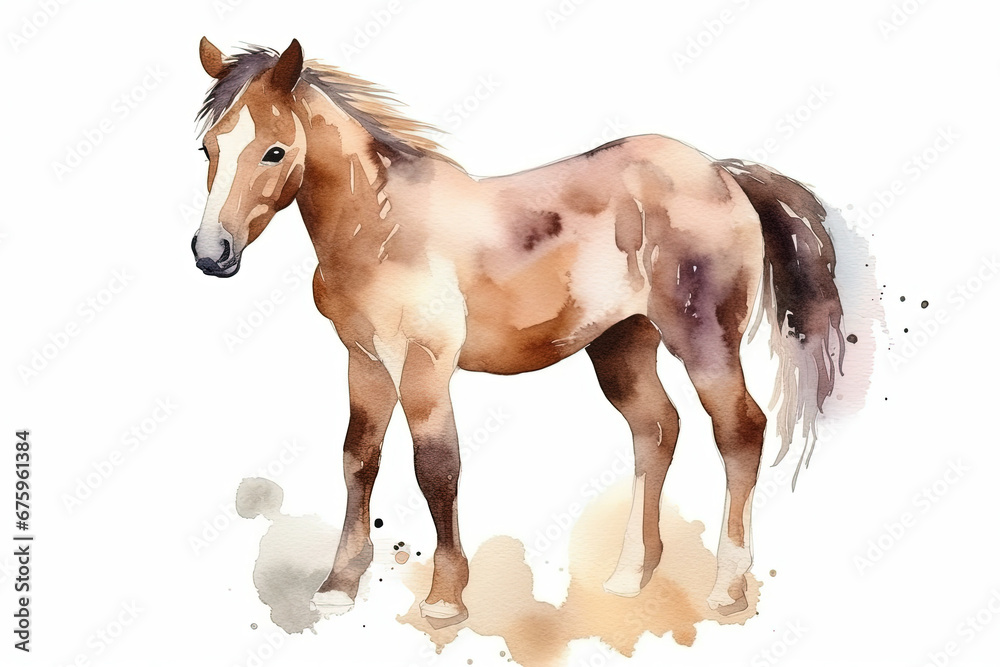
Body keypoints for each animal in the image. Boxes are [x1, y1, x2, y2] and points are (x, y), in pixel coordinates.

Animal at [191, 38, 846, 627]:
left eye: (275, 151)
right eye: (208, 147)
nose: (210, 253)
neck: (380, 225)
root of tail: (722, 173)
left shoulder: (424, 363)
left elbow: (436, 467)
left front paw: (446, 598)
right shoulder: (365, 361)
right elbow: (359, 459)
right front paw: (337, 587)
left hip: (703, 339)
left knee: (739, 431)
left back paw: (727, 588)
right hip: (623, 344)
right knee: (657, 430)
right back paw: (629, 576)